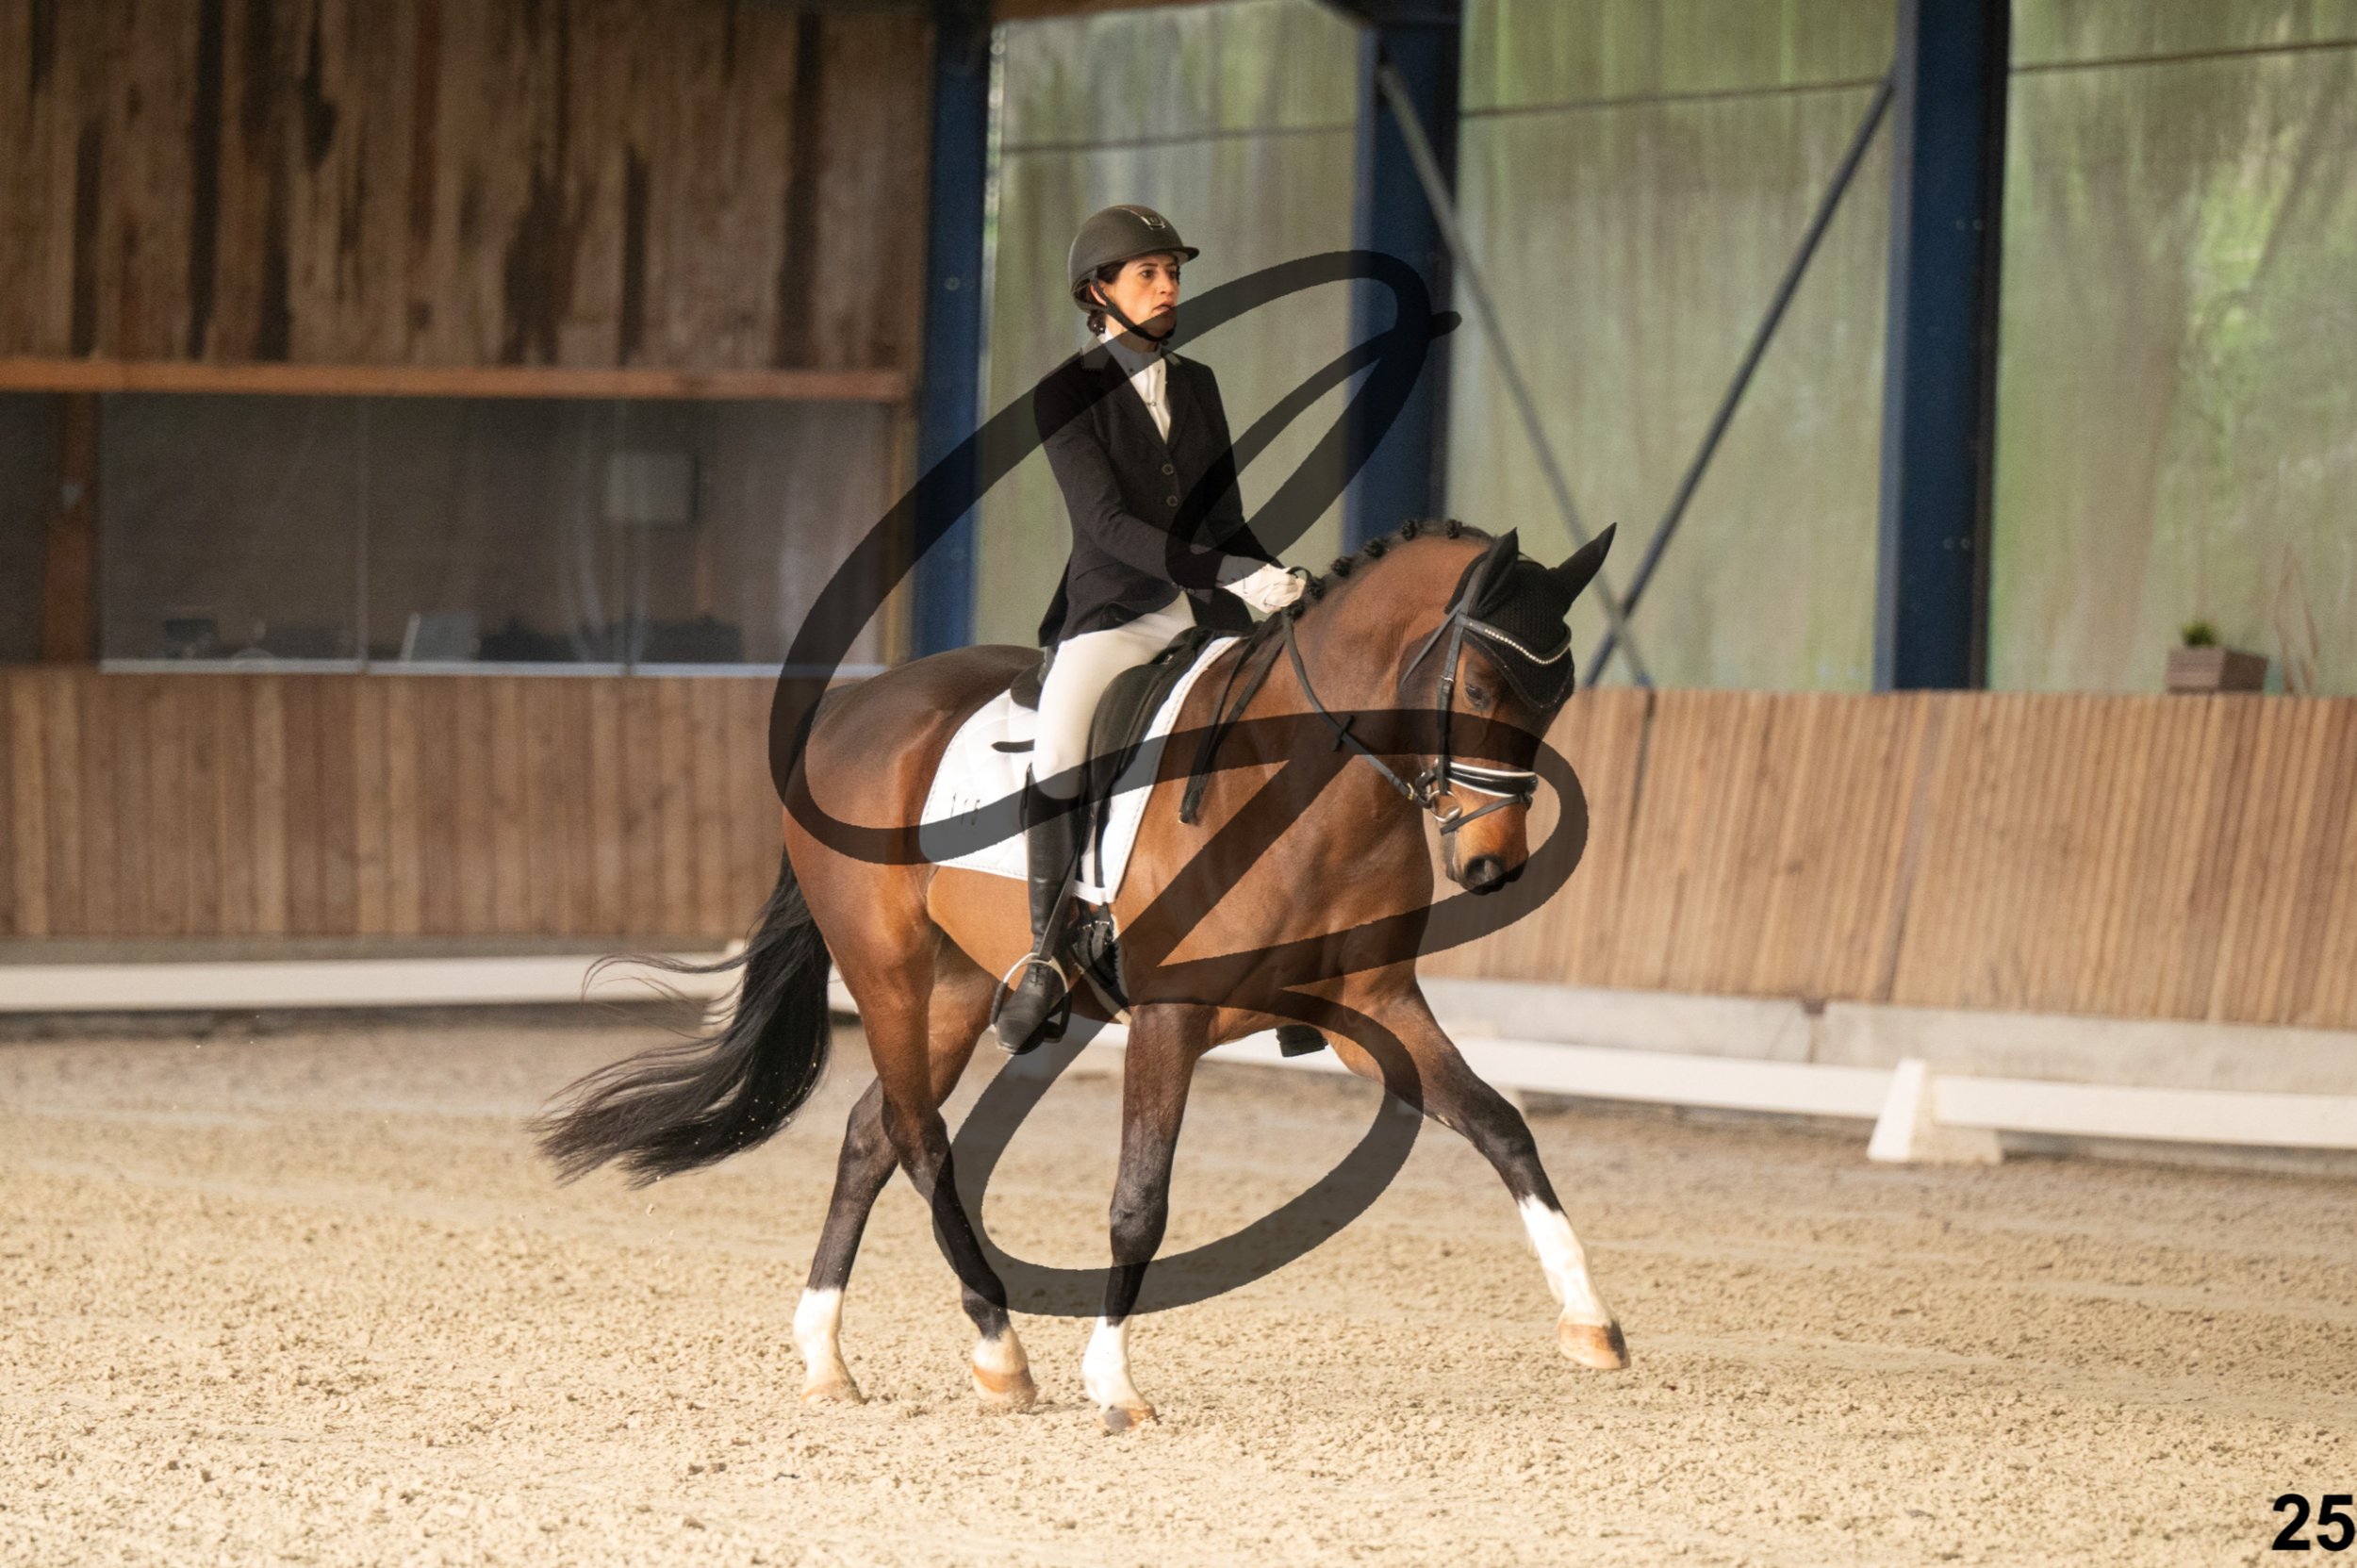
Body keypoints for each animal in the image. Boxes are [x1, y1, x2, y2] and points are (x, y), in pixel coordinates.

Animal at [534, 519, 1628, 1432]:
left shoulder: (1373, 1006)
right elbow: (1140, 1198)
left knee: (869, 1135)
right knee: (919, 1139)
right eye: (1478, 690)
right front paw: (1113, 1381)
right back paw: (1000, 1350)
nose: (1493, 866)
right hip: (887, 973)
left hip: (959, 988)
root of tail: (850, 711)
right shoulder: (1174, 1014)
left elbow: (1500, 1124)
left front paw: (1591, 1320)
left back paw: (827, 1355)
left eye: (1557, 695)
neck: (1306, 786)